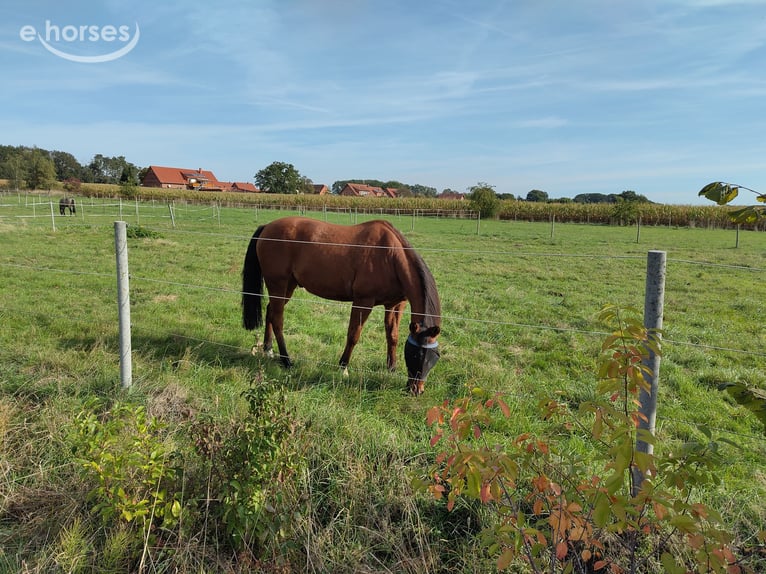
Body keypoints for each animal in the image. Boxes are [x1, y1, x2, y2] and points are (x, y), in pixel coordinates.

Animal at [241, 216, 442, 395]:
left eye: (435, 357)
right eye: (416, 355)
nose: (416, 390)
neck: (390, 255)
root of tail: (267, 227)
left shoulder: (395, 304)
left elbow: (392, 336)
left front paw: (391, 368)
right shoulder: (363, 301)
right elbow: (353, 335)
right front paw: (343, 367)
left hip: (288, 286)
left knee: (270, 311)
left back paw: (268, 349)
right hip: (278, 284)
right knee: (277, 319)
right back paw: (286, 360)